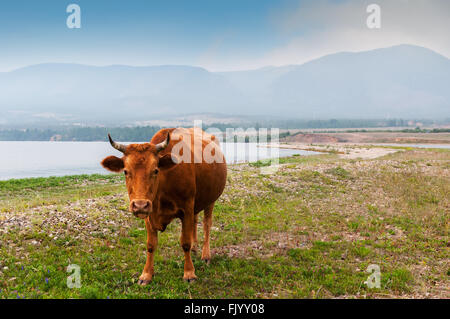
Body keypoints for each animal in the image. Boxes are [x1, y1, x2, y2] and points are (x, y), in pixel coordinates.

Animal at [102, 128, 229, 284]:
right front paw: (146, 275)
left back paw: (206, 255)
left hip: (210, 200)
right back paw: (195, 248)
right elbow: (151, 245)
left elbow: (185, 242)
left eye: (156, 170)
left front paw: (189, 273)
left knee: (207, 224)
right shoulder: (149, 213)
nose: (140, 205)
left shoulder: (186, 208)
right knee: (195, 221)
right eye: (125, 171)